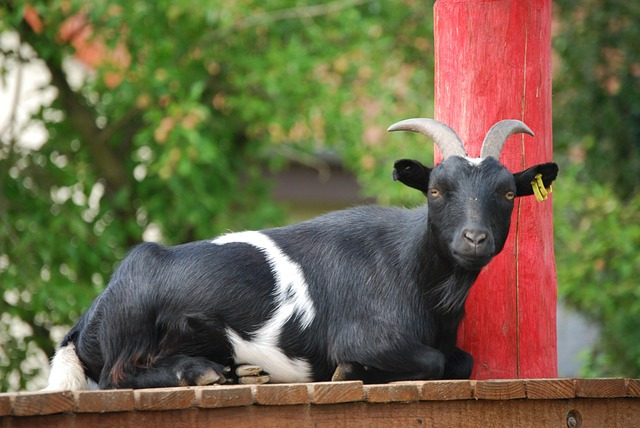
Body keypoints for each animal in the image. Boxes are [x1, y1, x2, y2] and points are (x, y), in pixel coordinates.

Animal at [46, 118, 558, 390]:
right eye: (435, 189)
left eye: (507, 193)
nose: (474, 238)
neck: (414, 274)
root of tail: (87, 321)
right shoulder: (363, 335)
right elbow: (431, 361)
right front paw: (350, 372)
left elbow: (461, 361)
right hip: (132, 317)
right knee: (116, 374)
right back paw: (202, 371)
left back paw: (242, 369)